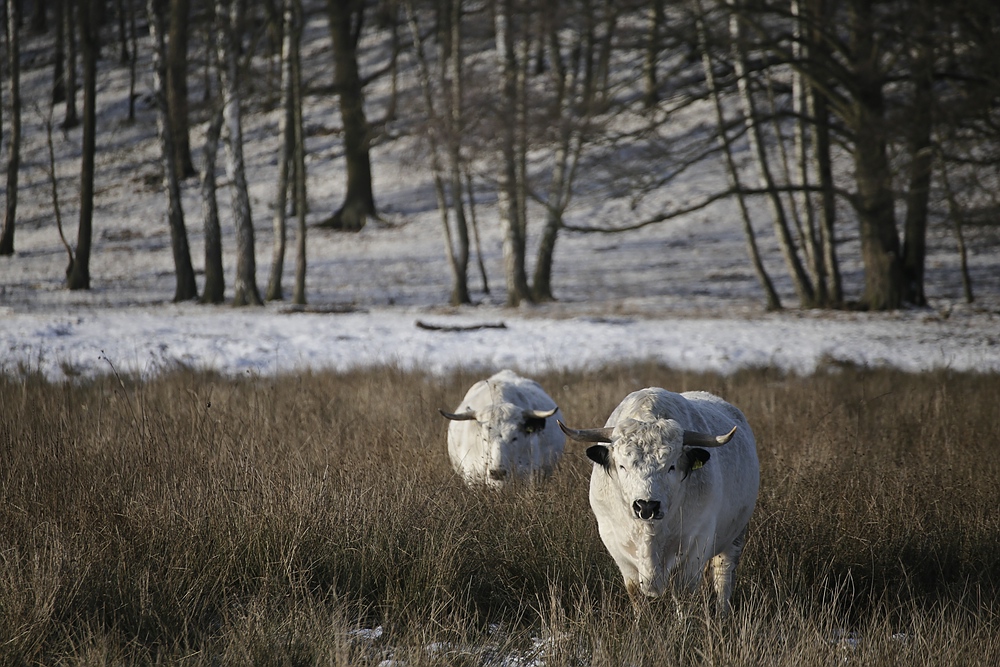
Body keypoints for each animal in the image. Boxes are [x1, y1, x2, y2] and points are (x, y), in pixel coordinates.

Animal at [560, 388, 760, 612]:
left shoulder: (696, 546)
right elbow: (636, 594)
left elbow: (684, 595)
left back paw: (723, 613)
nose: (646, 505)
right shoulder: (617, 547)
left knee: (723, 576)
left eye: (671, 466)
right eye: (622, 466)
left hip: (735, 536)